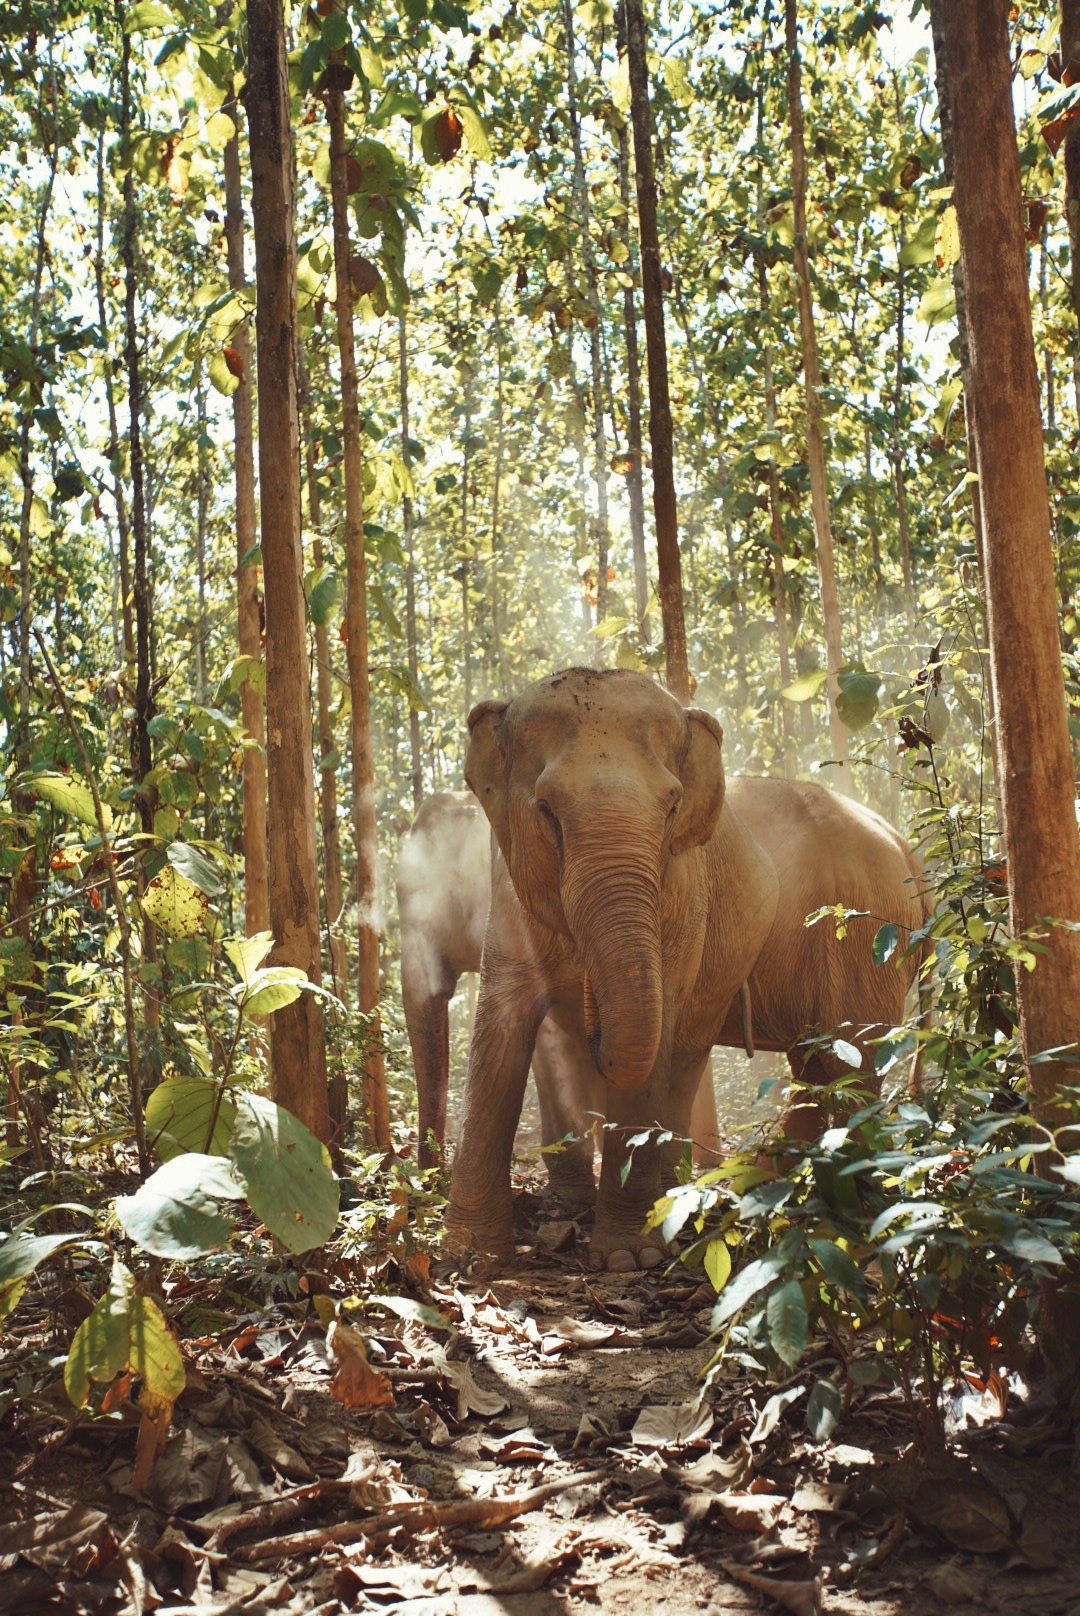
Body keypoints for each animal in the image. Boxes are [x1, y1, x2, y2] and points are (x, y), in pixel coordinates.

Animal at [446, 662, 931, 1266]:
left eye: (672, 807)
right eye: (545, 810)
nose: (589, 1011)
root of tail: (906, 847)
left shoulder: (680, 895)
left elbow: (655, 1036)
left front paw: (626, 1260)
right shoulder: (507, 888)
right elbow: (500, 1031)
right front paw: (468, 1257)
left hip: (865, 938)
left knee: (846, 1063)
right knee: (807, 1065)